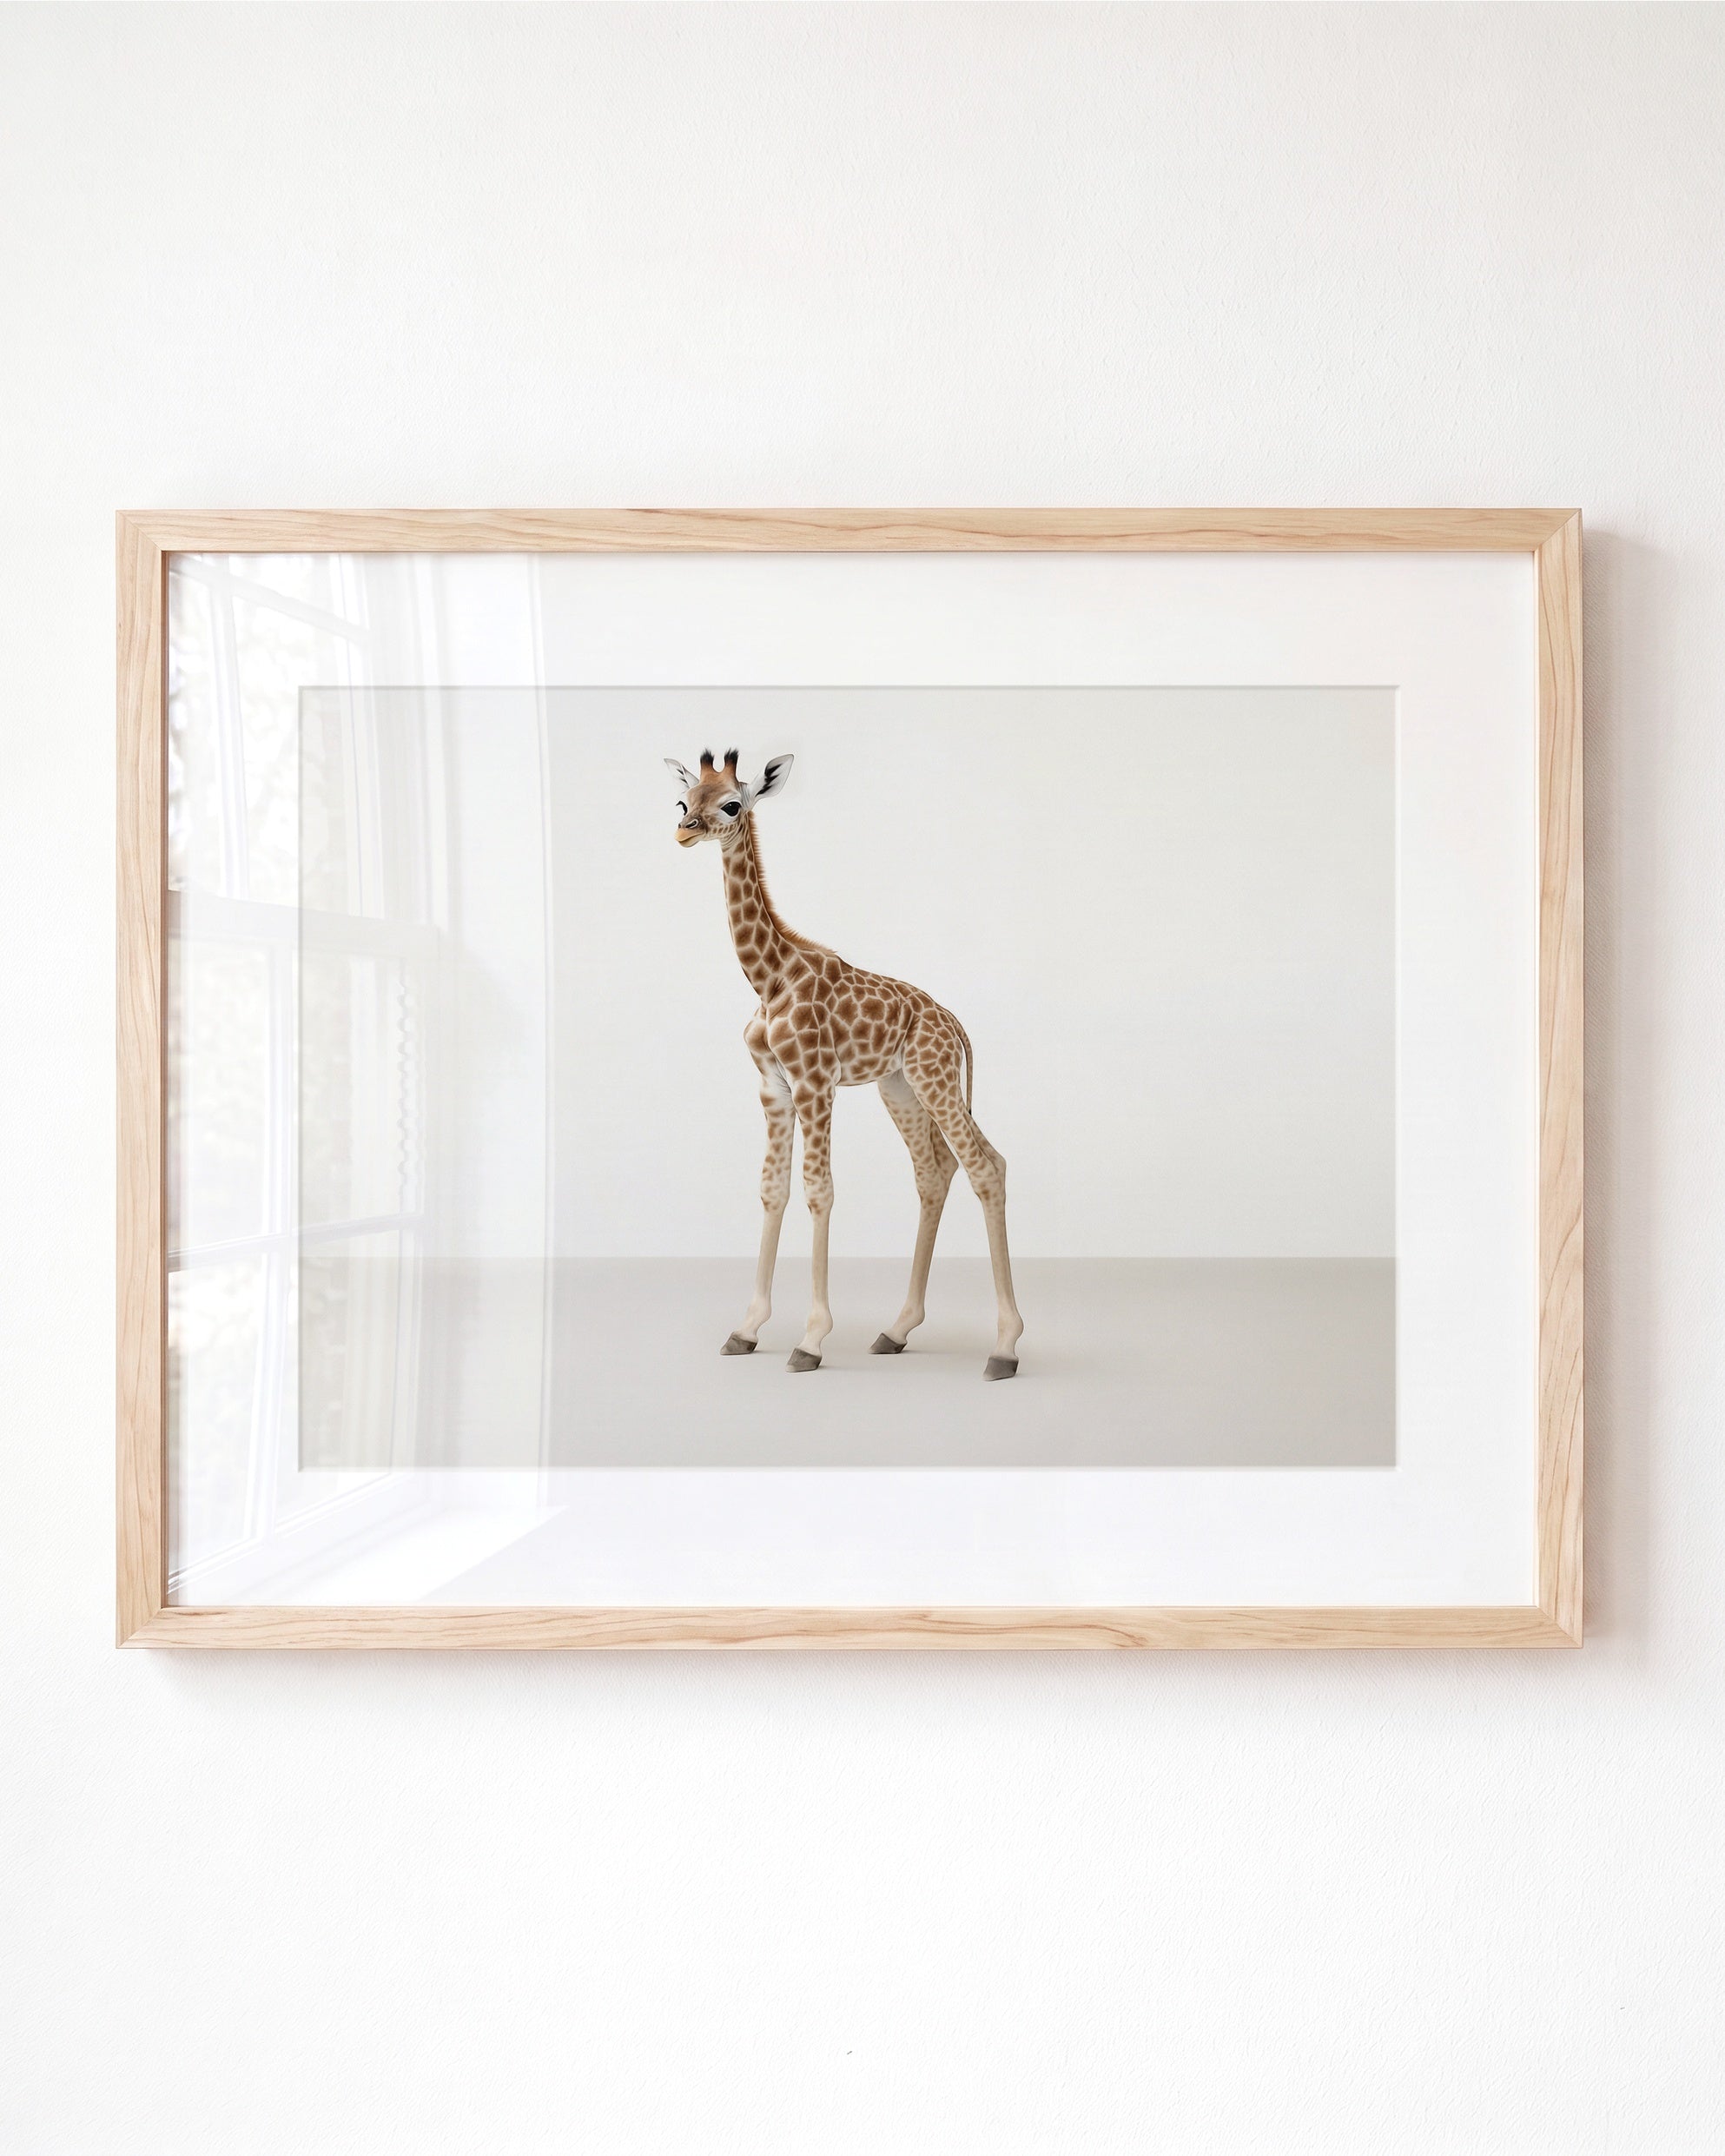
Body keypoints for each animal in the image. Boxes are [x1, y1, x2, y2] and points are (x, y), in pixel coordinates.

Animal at [665, 748, 1024, 1380]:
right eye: (684, 800)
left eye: (731, 804)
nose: (684, 831)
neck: (769, 978)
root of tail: (952, 1021)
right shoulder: (773, 1087)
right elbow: (772, 1189)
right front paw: (746, 1329)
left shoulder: (815, 1083)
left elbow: (819, 1190)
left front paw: (810, 1339)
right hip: (901, 1087)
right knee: (939, 1172)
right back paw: (896, 1329)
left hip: (934, 1078)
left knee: (983, 1167)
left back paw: (1004, 1348)